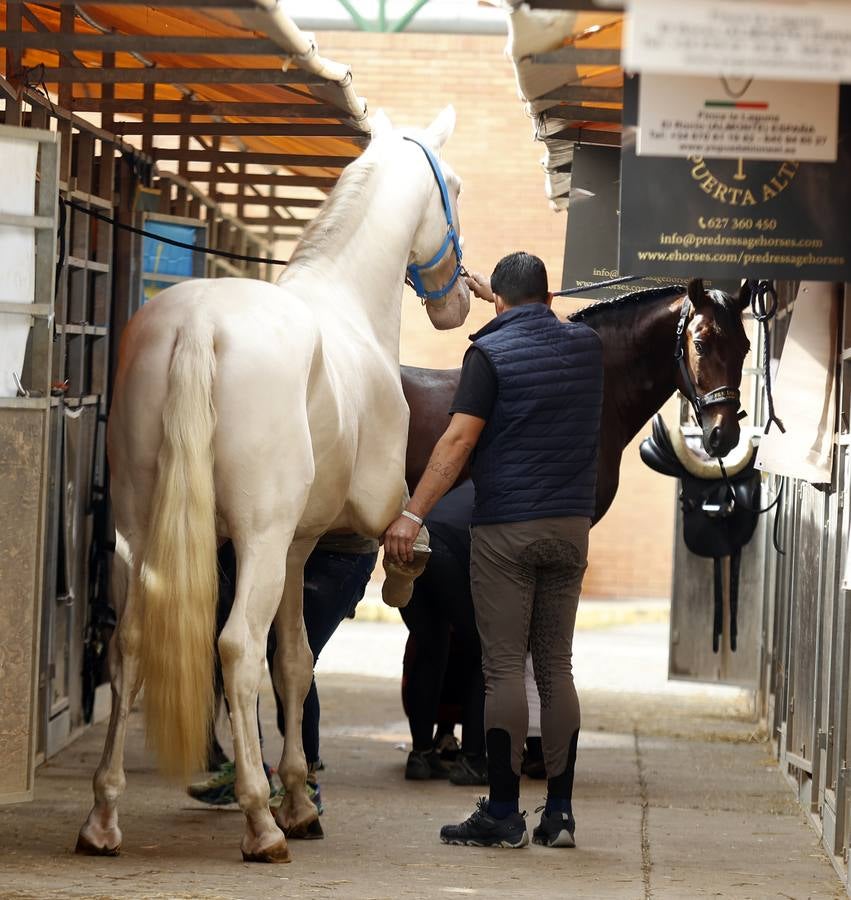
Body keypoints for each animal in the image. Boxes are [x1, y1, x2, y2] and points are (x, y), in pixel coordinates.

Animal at [75, 107, 470, 865]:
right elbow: (409, 540)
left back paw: (104, 818)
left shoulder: (295, 545)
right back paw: (259, 825)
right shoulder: (356, 516)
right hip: (254, 540)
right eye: (457, 188)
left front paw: (298, 798)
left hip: (141, 536)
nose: (460, 301)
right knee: (234, 649)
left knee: (132, 645)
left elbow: (292, 662)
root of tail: (200, 322)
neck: (347, 306)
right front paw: (292, 804)